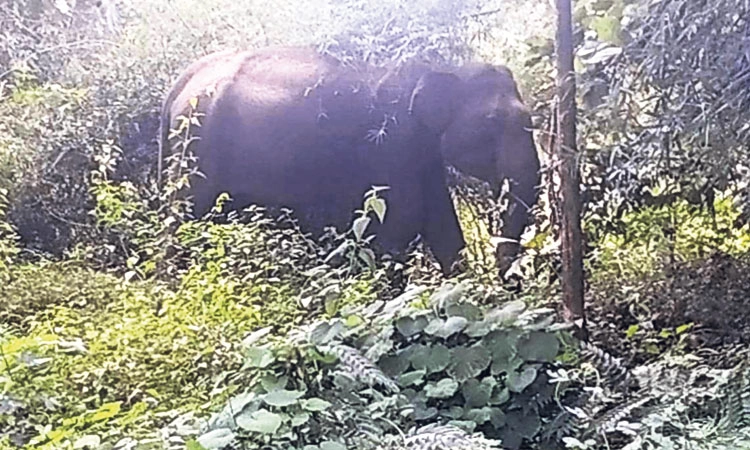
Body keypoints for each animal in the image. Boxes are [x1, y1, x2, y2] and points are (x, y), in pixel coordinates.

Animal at [158, 46, 540, 276]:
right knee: (185, 218)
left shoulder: (422, 155)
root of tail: (178, 87)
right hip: (198, 148)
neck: (439, 70)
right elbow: (399, 226)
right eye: (492, 122)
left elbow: (442, 226)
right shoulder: (389, 149)